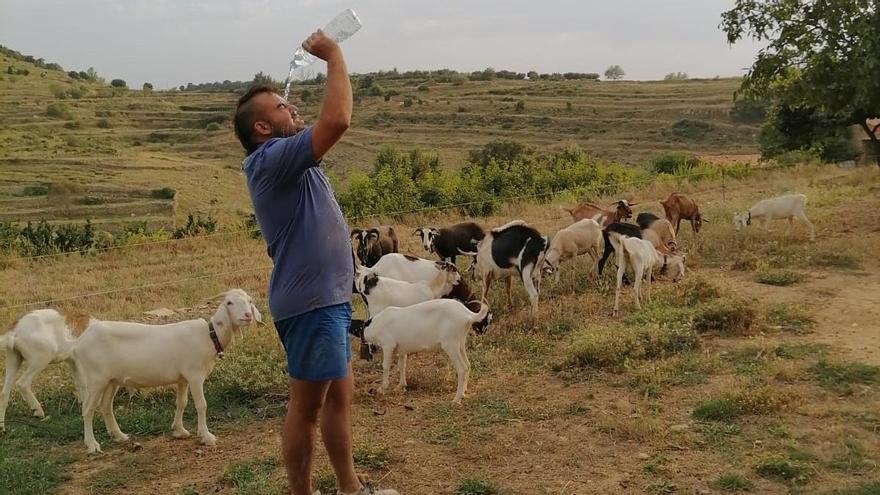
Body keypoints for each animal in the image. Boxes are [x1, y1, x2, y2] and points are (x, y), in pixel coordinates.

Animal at [73, 288, 260, 456]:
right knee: (88, 409)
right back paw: (92, 445)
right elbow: (201, 405)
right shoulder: (195, 375)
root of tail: (79, 343)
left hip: (111, 380)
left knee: (105, 405)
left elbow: (181, 402)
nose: (247, 316)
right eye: (229, 302)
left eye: (249, 301)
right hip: (96, 379)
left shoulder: (183, 378)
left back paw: (119, 436)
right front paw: (206, 436)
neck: (210, 335)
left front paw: (179, 430)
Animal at [360, 300, 492, 404]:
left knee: (462, 368)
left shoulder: (388, 345)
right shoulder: (402, 350)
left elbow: (386, 366)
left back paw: (456, 399)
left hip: (450, 344)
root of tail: (467, 314)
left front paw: (382, 388)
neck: (374, 324)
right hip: (460, 343)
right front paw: (400, 386)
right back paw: (463, 393)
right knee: (468, 365)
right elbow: (402, 366)